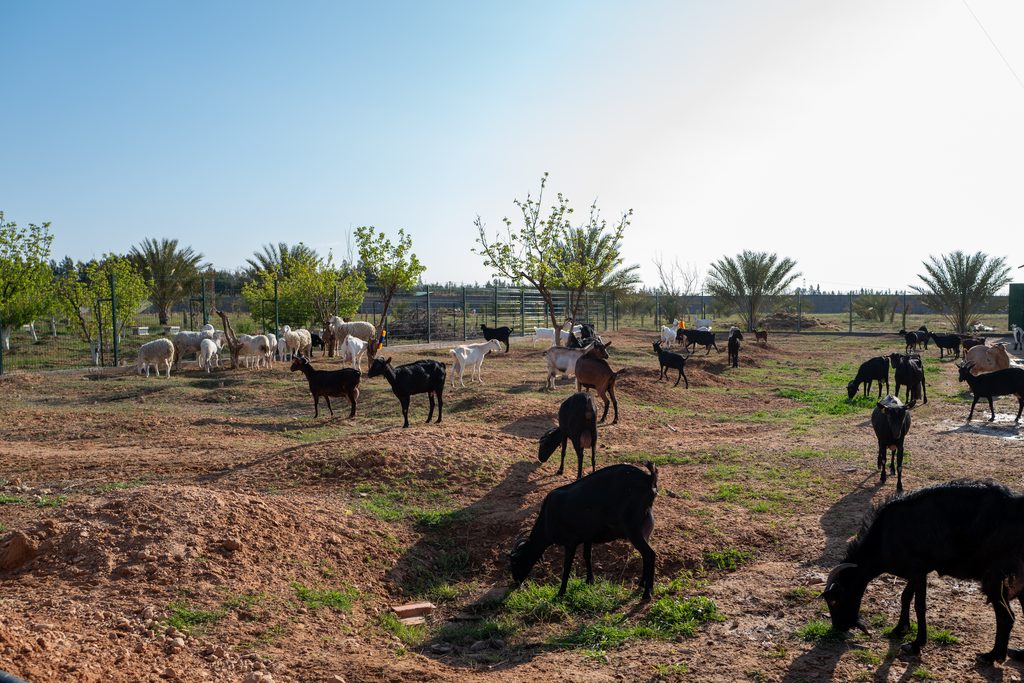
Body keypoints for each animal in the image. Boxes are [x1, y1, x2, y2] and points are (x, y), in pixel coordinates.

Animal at [510, 463, 658, 600]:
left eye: (515, 561)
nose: (515, 582)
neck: (547, 518)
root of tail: (649, 479)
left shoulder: (570, 542)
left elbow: (567, 566)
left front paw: (561, 593)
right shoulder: (588, 536)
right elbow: (587, 556)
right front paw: (589, 581)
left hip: (632, 528)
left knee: (649, 554)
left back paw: (647, 593)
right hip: (645, 527)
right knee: (645, 555)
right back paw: (642, 584)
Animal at [822, 480, 1024, 662]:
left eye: (834, 600)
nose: (838, 626)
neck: (884, 536)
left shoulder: (918, 571)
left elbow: (919, 605)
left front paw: (916, 644)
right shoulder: (916, 572)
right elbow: (905, 597)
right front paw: (900, 628)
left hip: (994, 576)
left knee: (1007, 617)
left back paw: (993, 656)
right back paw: (1015, 653)